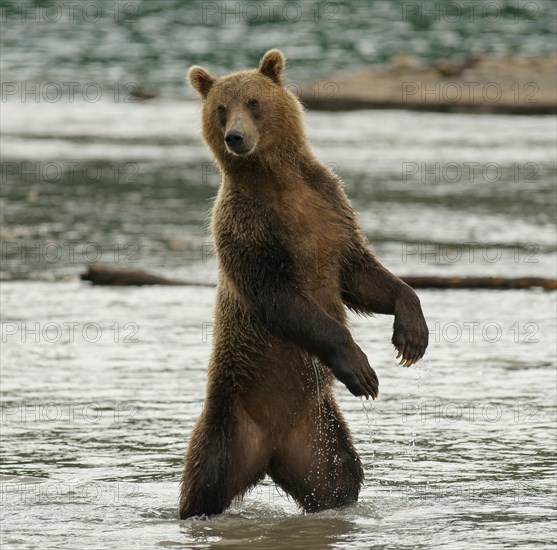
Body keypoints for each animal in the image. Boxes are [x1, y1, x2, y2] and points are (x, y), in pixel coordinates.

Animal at [180, 49, 428, 520]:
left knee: (339, 478)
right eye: (221, 108)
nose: (235, 137)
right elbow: (281, 298)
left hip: (317, 435)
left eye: (254, 102)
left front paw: (411, 336)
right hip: (229, 418)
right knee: (204, 481)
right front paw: (361, 369)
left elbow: (361, 274)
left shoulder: (329, 209)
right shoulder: (247, 228)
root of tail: (268, 450)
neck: (277, 182)